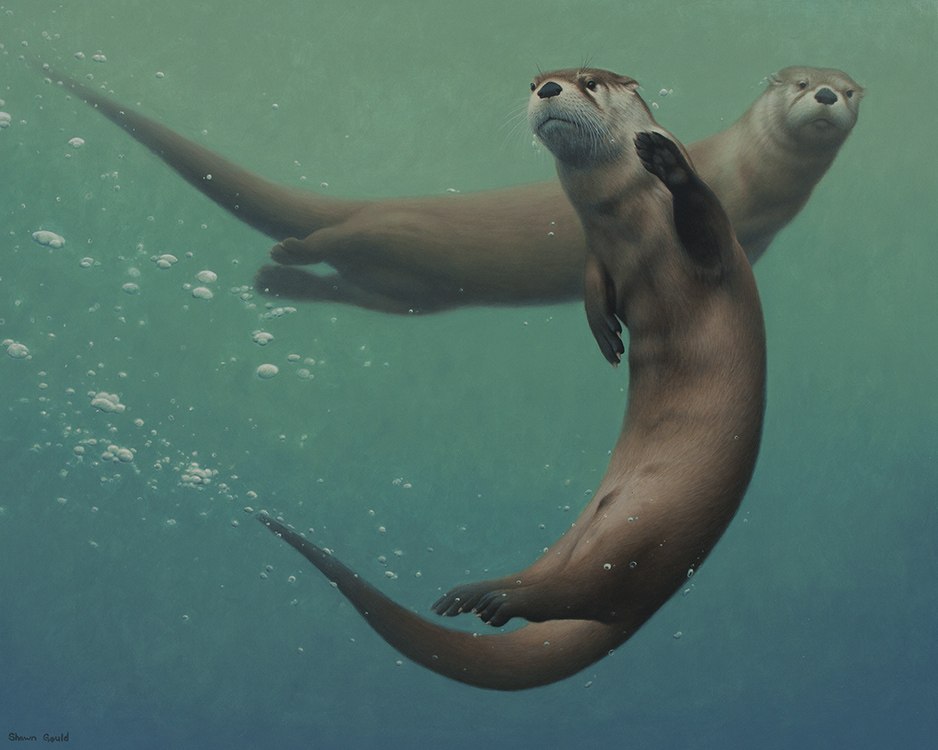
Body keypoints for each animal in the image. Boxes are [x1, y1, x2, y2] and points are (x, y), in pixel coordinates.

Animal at [33, 61, 860, 314]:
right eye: (799, 83)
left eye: (849, 88)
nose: (827, 95)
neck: (750, 182)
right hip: (402, 232)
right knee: (341, 234)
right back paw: (291, 249)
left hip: (410, 290)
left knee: (351, 282)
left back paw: (277, 277)